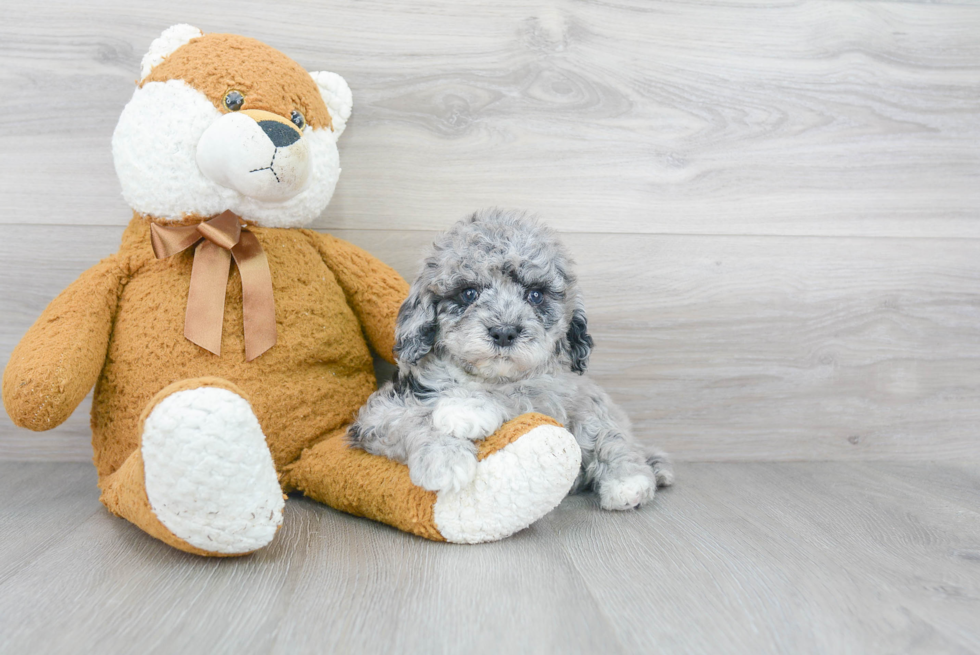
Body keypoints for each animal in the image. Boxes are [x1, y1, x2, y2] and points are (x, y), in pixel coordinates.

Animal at [346, 208, 672, 510]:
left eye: (536, 295)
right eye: (469, 293)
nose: (504, 332)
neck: (487, 377)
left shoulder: (556, 391)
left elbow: (521, 394)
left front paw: (468, 408)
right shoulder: (377, 415)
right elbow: (411, 420)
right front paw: (445, 460)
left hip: (592, 404)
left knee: (613, 436)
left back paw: (630, 480)